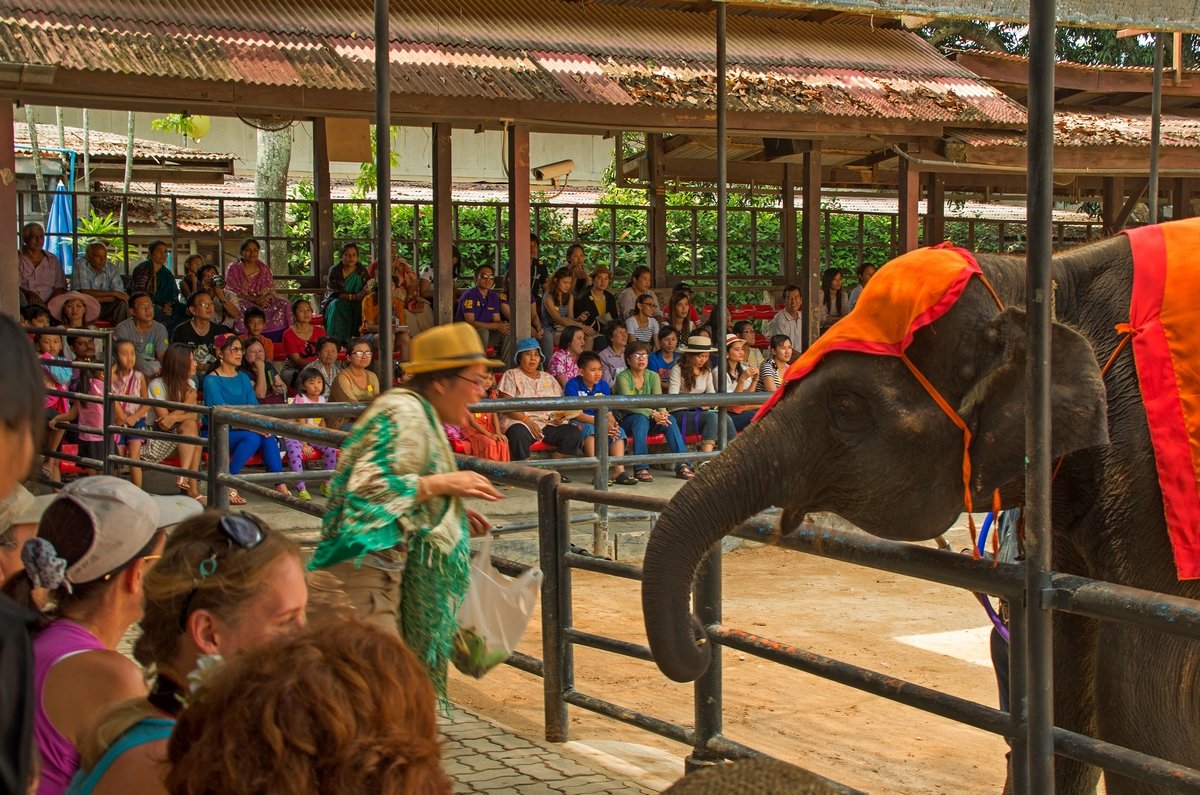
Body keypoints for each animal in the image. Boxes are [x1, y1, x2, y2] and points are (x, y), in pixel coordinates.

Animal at [643, 235, 1200, 795]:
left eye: (847, 403)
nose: (701, 638)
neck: (1042, 283)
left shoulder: (1153, 477)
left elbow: (1137, 703)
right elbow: (1065, 680)